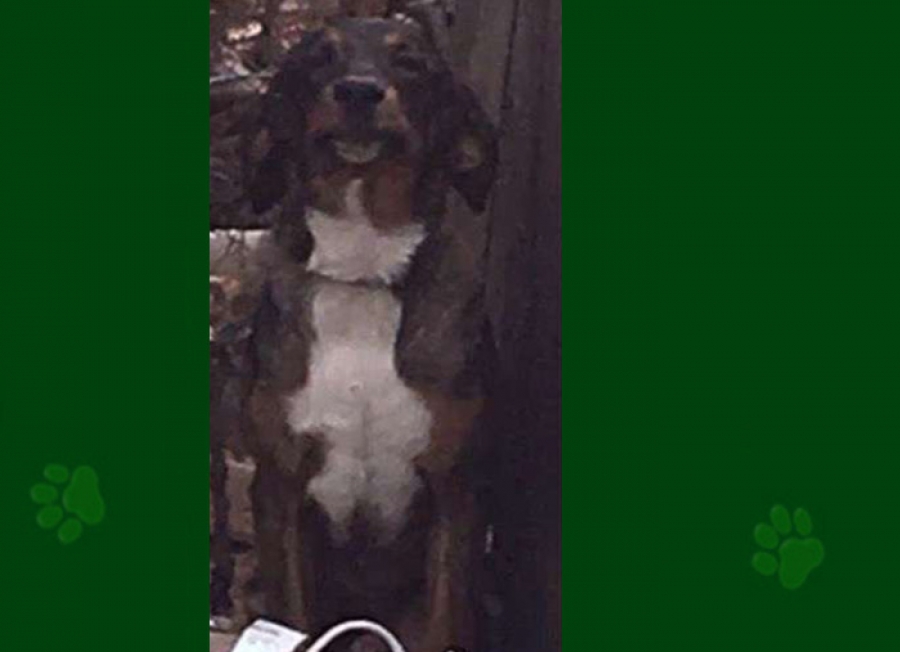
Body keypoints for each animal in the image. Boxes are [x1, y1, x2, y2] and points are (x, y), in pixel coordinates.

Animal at [235, 14, 498, 652]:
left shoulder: (456, 492)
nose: (358, 91)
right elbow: (294, 612)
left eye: (411, 62)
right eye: (317, 58)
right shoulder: (279, 488)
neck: (364, 271)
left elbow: (445, 620)